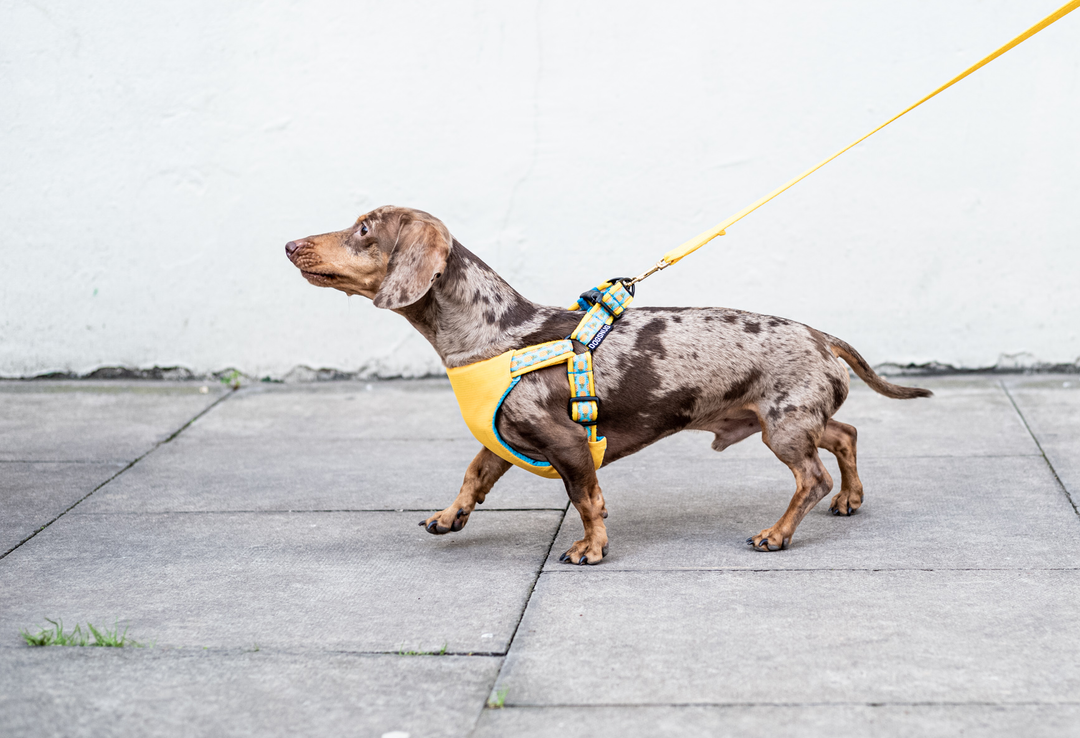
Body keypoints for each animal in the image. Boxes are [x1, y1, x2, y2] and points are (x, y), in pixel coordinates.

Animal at [285, 205, 928, 561]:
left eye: (364, 228)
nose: (289, 244)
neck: (497, 332)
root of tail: (820, 335)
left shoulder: (567, 444)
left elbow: (587, 499)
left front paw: (591, 549)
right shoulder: (504, 437)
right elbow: (473, 474)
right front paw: (450, 516)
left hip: (784, 427)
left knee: (811, 477)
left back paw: (777, 534)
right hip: (790, 418)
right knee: (843, 434)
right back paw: (850, 498)